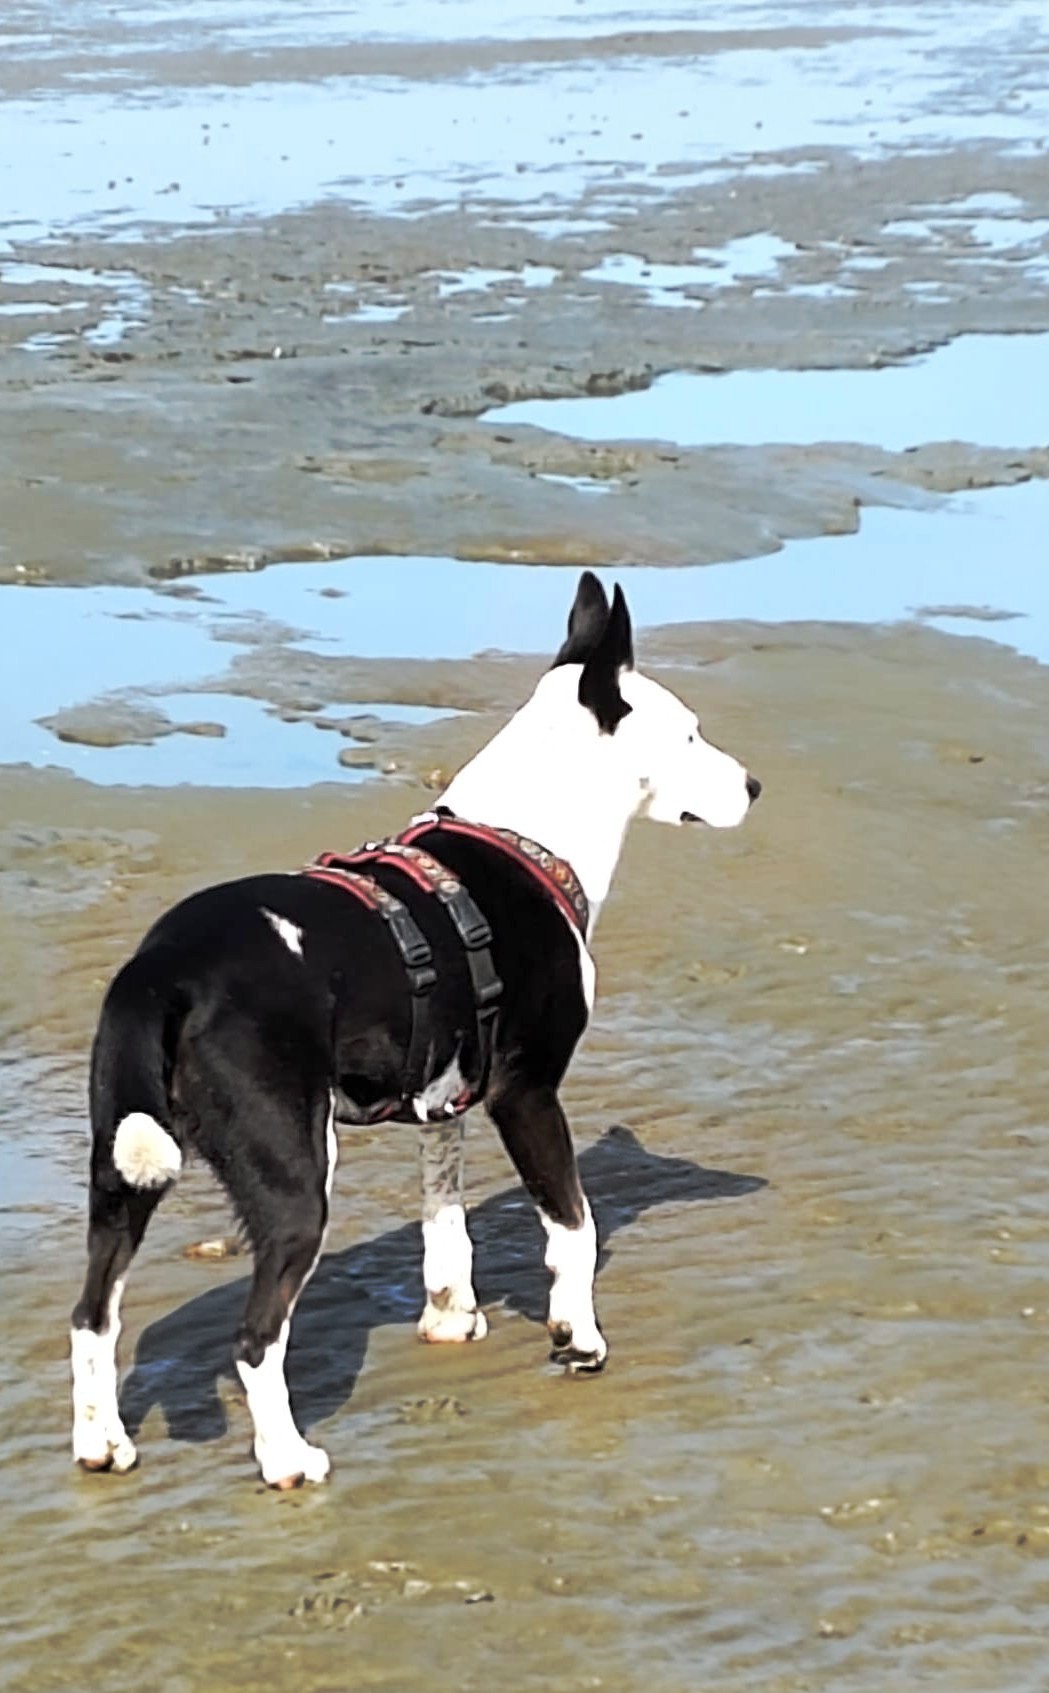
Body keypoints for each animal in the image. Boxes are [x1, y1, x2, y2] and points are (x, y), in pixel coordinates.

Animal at [71, 572, 759, 1488]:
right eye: (686, 733)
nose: (753, 786)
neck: (525, 834)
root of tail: (163, 970)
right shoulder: (525, 1094)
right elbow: (573, 1228)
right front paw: (577, 1337)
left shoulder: (445, 1099)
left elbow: (445, 1223)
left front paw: (450, 1316)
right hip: (294, 1179)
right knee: (256, 1337)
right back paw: (288, 1459)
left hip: (121, 1172)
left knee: (91, 1315)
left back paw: (101, 1443)